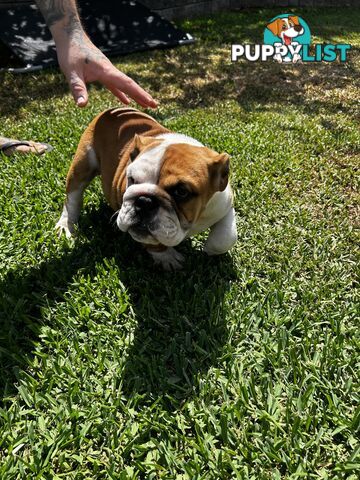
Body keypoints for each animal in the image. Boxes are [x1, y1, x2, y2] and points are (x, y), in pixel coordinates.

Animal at [54, 107, 238, 268]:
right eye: (132, 179)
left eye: (181, 192)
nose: (144, 201)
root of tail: (111, 111)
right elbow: (152, 242)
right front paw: (167, 257)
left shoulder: (224, 203)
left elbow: (226, 238)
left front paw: (209, 249)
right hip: (83, 163)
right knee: (73, 198)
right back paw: (66, 225)